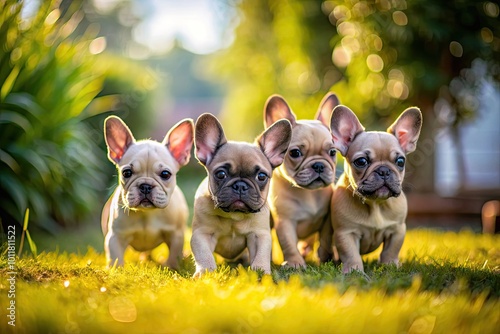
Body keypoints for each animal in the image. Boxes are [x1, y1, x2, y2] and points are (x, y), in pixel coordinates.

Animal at [101, 116, 193, 270]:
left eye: (165, 174)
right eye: (126, 173)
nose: (145, 186)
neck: (147, 214)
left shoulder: (176, 235)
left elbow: (173, 256)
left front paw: (172, 268)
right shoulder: (115, 237)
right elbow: (116, 258)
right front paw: (116, 270)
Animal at [191, 113, 292, 278]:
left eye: (261, 176)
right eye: (221, 174)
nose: (240, 186)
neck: (234, 215)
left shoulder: (259, 235)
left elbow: (261, 254)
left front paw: (261, 272)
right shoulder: (201, 234)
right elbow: (203, 254)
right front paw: (205, 272)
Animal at [266, 92, 340, 268]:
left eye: (333, 152)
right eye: (295, 153)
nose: (319, 165)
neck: (307, 193)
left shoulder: (327, 221)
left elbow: (326, 239)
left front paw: (325, 258)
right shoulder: (285, 222)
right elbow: (288, 243)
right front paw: (295, 262)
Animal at [330, 105, 424, 272]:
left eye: (400, 161)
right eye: (361, 161)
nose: (384, 171)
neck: (375, 204)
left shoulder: (397, 230)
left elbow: (391, 250)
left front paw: (390, 266)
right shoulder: (345, 233)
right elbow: (350, 253)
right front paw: (354, 271)